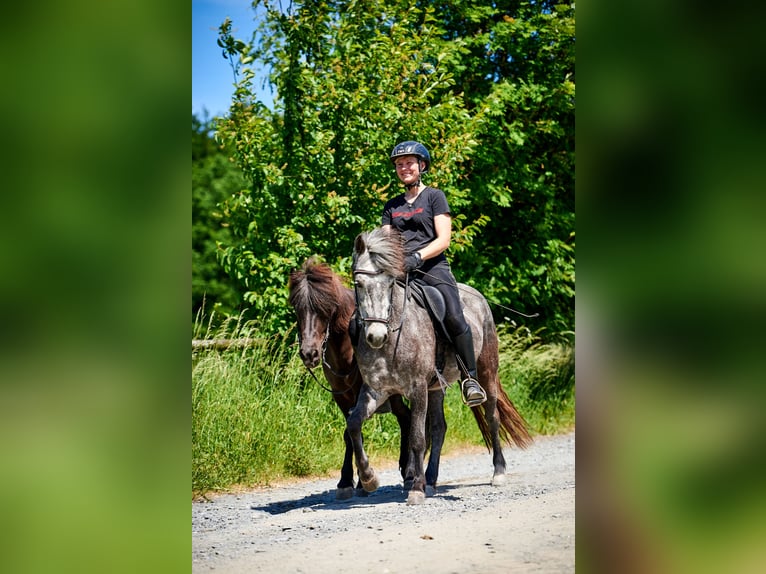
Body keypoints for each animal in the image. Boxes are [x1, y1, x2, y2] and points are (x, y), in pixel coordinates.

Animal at [288, 256, 412, 500]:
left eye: (324, 309)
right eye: (297, 308)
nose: (309, 354)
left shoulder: (361, 394)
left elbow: (352, 429)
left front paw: (362, 481)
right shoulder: (342, 396)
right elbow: (350, 432)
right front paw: (347, 481)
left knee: (407, 417)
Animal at [348, 227, 532, 505]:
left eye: (390, 283)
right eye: (359, 284)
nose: (376, 336)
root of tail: (477, 296)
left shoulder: (418, 389)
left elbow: (416, 437)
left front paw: (415, 489)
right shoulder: (376, 390)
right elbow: (354, 424)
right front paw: (369, 479)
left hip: (487, 372)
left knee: (492, 417)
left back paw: (498, 472)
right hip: (437, 388)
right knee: (439, 428)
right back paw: (431, 479)